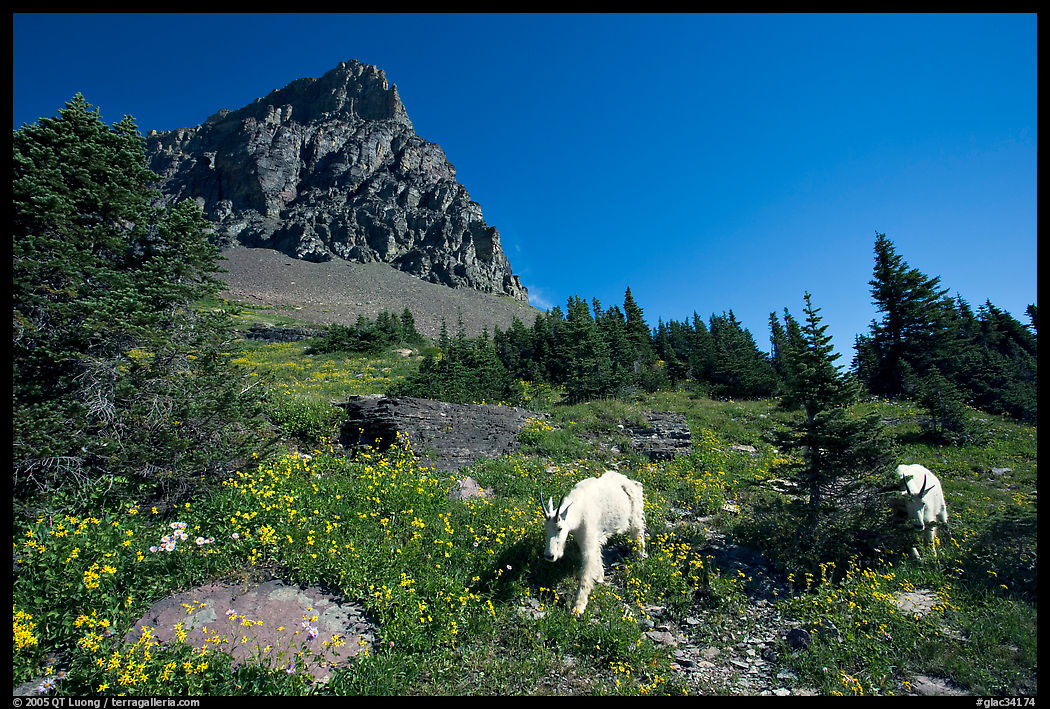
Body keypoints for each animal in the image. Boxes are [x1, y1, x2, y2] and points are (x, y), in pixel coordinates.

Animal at [540, 470, 646, 614]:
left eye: (560, 528)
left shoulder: (588, 539)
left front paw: (578, 607)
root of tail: (630, 481)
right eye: (546, 527)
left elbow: (586, 572)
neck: (579, 511)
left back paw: (640, 558)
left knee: (638, 532)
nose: (549, 556)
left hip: (636, 514)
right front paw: (600, 577)